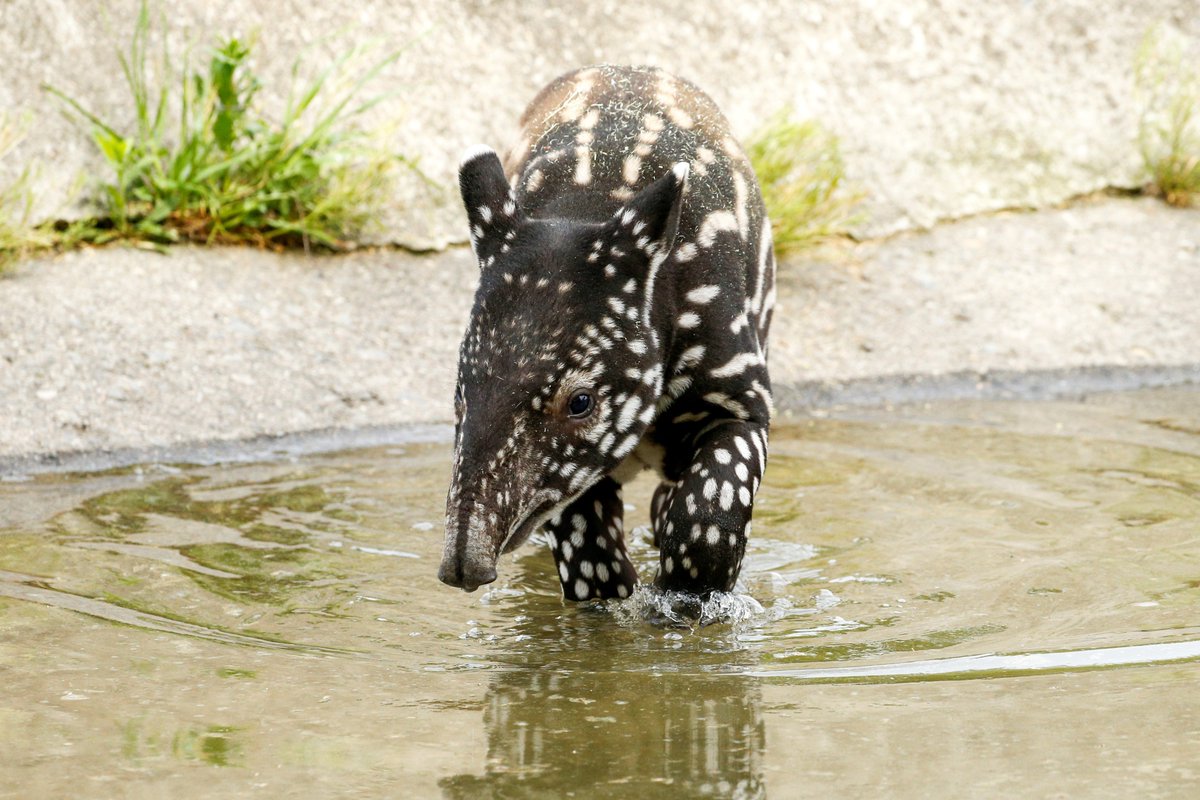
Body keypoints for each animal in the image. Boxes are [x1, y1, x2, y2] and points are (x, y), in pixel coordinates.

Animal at [436, 64, 772, 599]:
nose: (464, 566)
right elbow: (594, 568)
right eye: (460, 398)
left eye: (581, 402)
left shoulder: (738, 395)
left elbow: (707, 519)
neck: (587, 206)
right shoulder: (573, 476)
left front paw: (684, 598)